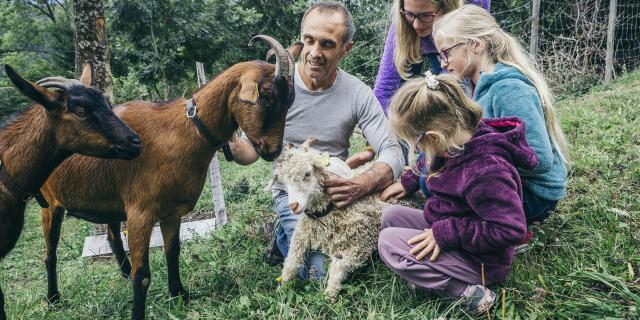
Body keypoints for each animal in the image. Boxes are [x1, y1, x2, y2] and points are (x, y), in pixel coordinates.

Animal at [40, 35, 302, 320]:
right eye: (265, 97)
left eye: (290, 101)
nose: (273, 150)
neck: (181, 131)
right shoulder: (140, 213)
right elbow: (143, 275)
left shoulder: (173, 212)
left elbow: (173, 252)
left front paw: (179, 295)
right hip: (50, 203)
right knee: (50, 253)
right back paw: (53, 299)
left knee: (111, 236)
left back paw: (122, 274)